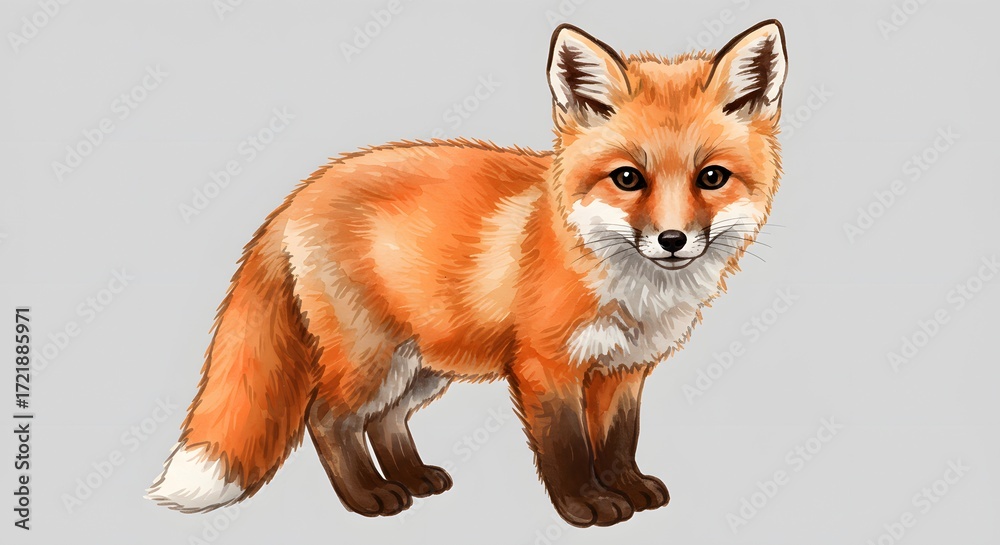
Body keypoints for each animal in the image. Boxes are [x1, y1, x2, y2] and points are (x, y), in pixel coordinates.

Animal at [147, 20, 787, 527]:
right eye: (628, 178)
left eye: (711, 177)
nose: (673, 241)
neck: (630, 289)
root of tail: (303, 190)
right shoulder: (544, 366)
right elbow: (566, 447)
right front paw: (585, 504)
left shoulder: (624, 370)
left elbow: (617, 441)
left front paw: (627, 487)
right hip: (370, 357)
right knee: (326, 419)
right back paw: (368, 497)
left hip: (422, 365)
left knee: (385, 421)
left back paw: (412, 478)